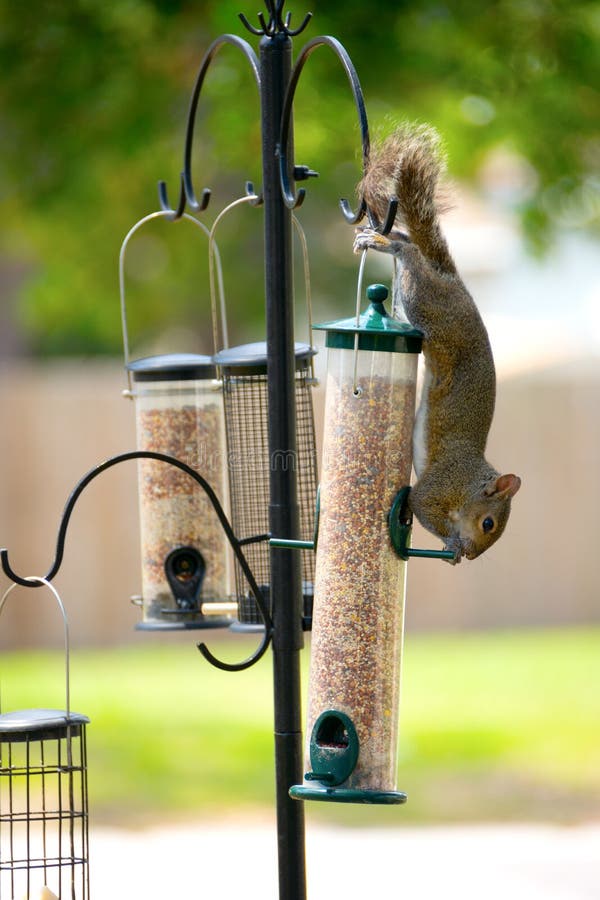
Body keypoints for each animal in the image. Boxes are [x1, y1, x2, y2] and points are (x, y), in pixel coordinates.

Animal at [352, 122, 520, 560]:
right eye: (488, 523)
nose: (474, 556)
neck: (470, 480)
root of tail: (454, 282)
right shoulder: (440, 484)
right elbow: (420, 504)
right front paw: (453, 544)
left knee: (413, 247)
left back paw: (386, 236)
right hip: (427, 305)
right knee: (410, 259)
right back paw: (388, 244)